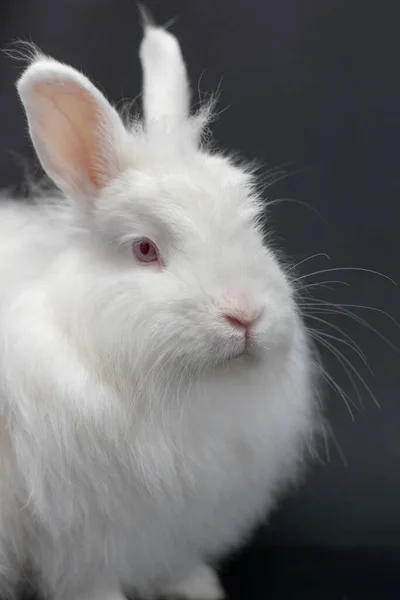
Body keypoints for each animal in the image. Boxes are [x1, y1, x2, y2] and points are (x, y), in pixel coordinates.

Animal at [0, 12, 320, 600]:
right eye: (145, 250)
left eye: (254, 228)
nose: (245, 315)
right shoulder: (77, 535)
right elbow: (90, 580)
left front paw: (200, 587)